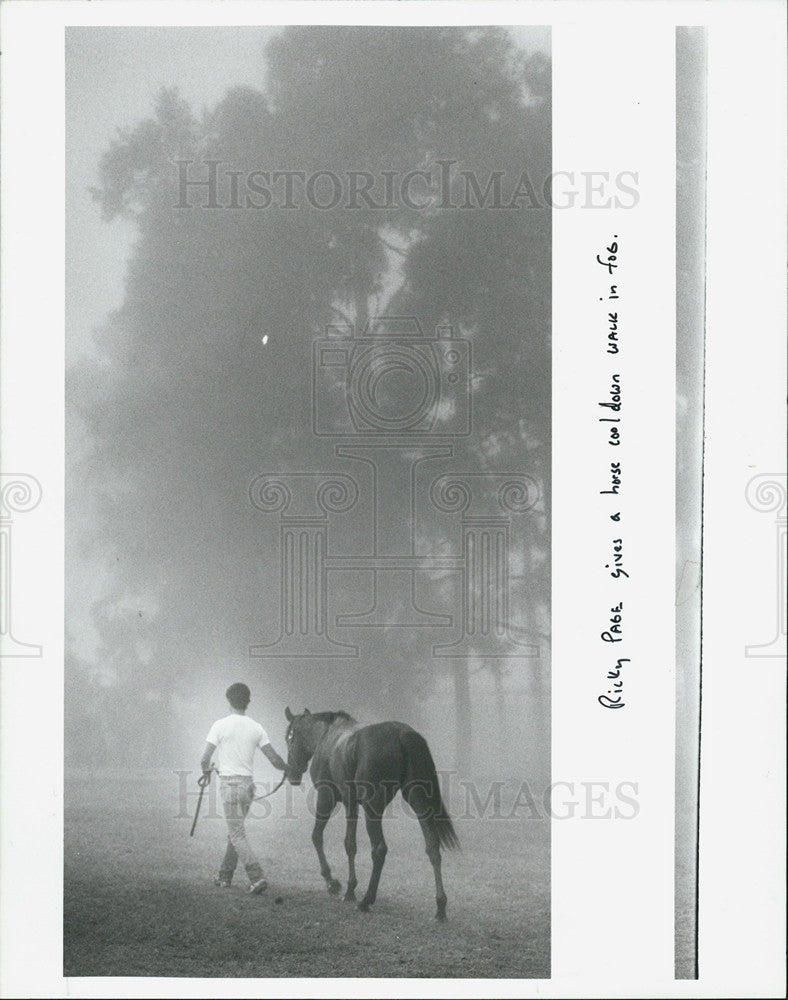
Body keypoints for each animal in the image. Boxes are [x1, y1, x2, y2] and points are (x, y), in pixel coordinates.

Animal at [284, 708, 458, 916]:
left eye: (289, 738)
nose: (291, 774)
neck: (326, 736)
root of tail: (401, 733)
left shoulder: (327, 798)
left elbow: (318, 836)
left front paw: (333, 883)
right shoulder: (351, 803)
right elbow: (350, 844)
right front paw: (350, 889)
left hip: (372, 808)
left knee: (379, 849)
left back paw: (367, 899)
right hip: (418, 802)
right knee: (432, 847)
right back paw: (440, 906)